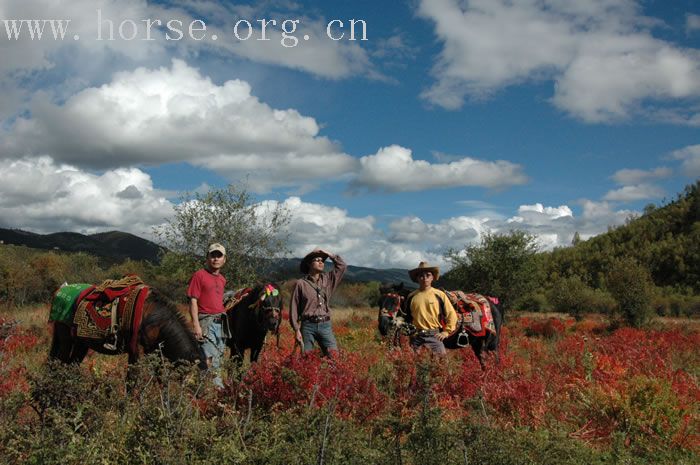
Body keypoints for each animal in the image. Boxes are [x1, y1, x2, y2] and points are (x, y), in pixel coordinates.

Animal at [49, 276, 205, 374]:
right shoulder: (136, 351)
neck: (155, 320)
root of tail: (61, 290)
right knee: (58, 366)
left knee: (71, 366)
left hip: (81, 344)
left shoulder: (154, 354)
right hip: (66, 341)